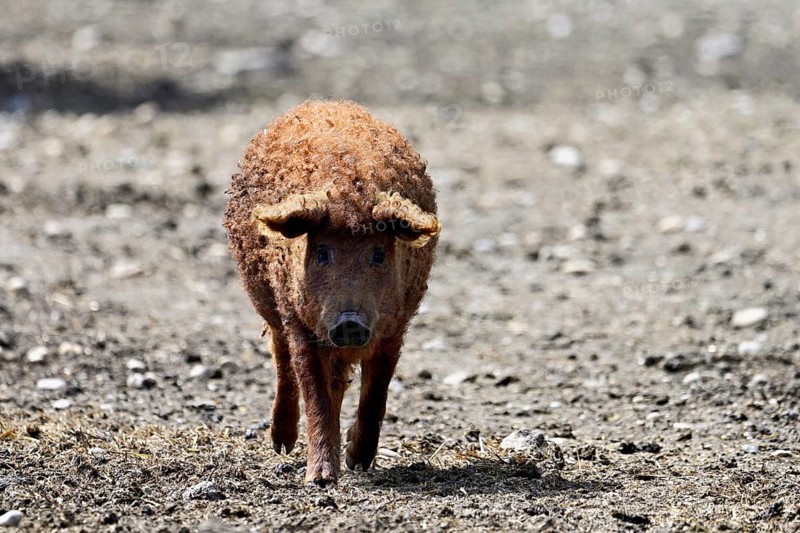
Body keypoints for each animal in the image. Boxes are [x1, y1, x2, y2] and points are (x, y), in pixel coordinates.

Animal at [223, 100, 440, 485]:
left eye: (378, 253)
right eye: (322, 252)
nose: (349, 321)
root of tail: (320, 102)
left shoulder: (395, 327)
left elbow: (377, 393)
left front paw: (358, 462)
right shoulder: (299, 324)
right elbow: (314, 393)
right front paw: (321, 479)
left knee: (339, 382)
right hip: (271, 305)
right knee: (282, 362)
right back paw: (281, 445)